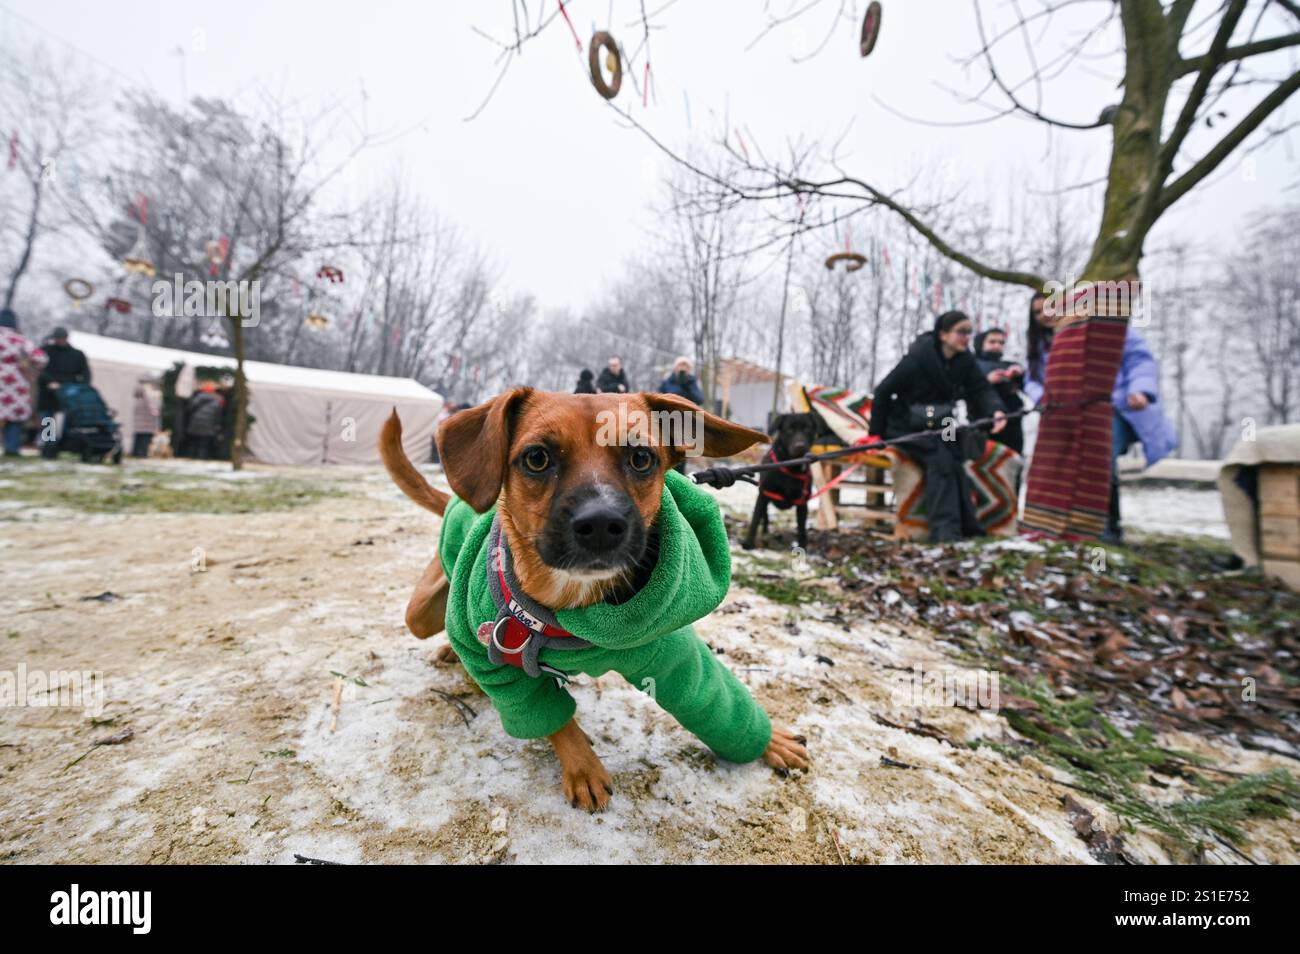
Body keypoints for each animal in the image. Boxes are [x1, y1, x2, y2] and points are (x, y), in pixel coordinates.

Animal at [743, 413, 811, 553]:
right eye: (789, 430)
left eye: (808, 429)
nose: (800, 446)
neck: (791, 467)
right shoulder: (764, 495)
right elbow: (755, 520)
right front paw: (748, 543)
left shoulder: (802, 502)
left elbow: (802, 528)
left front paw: (802, 547)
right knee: (765, 517)